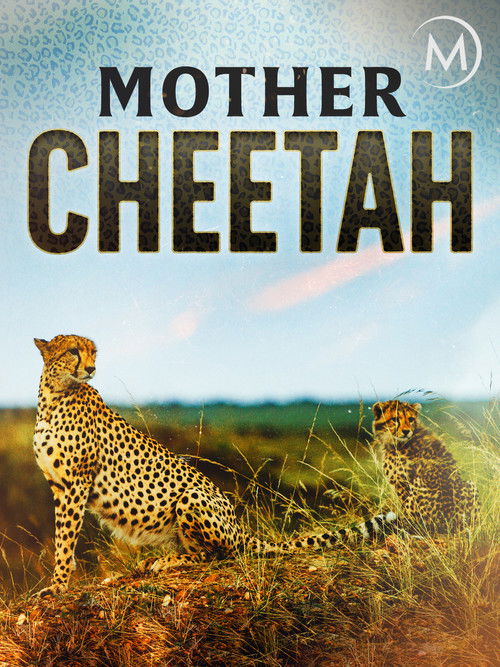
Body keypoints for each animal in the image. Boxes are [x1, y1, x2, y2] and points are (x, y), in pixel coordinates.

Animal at [33, 334, 398, 596]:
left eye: (93, 353)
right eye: (73, 351)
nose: (92, 369)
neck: (53, 397)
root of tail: (238, 526)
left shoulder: (77, 482)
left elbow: (66, 538)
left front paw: (57, 586)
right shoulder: (59, 486)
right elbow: (62, 534)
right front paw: (58, 582)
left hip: (192, 497)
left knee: (217, 553)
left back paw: (168, 560)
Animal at [372, 400, 480, 533]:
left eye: (411, 419)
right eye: (395, 419)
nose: (406, 431)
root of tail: (450, 523)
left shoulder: (401, 485)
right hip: (471, 484)